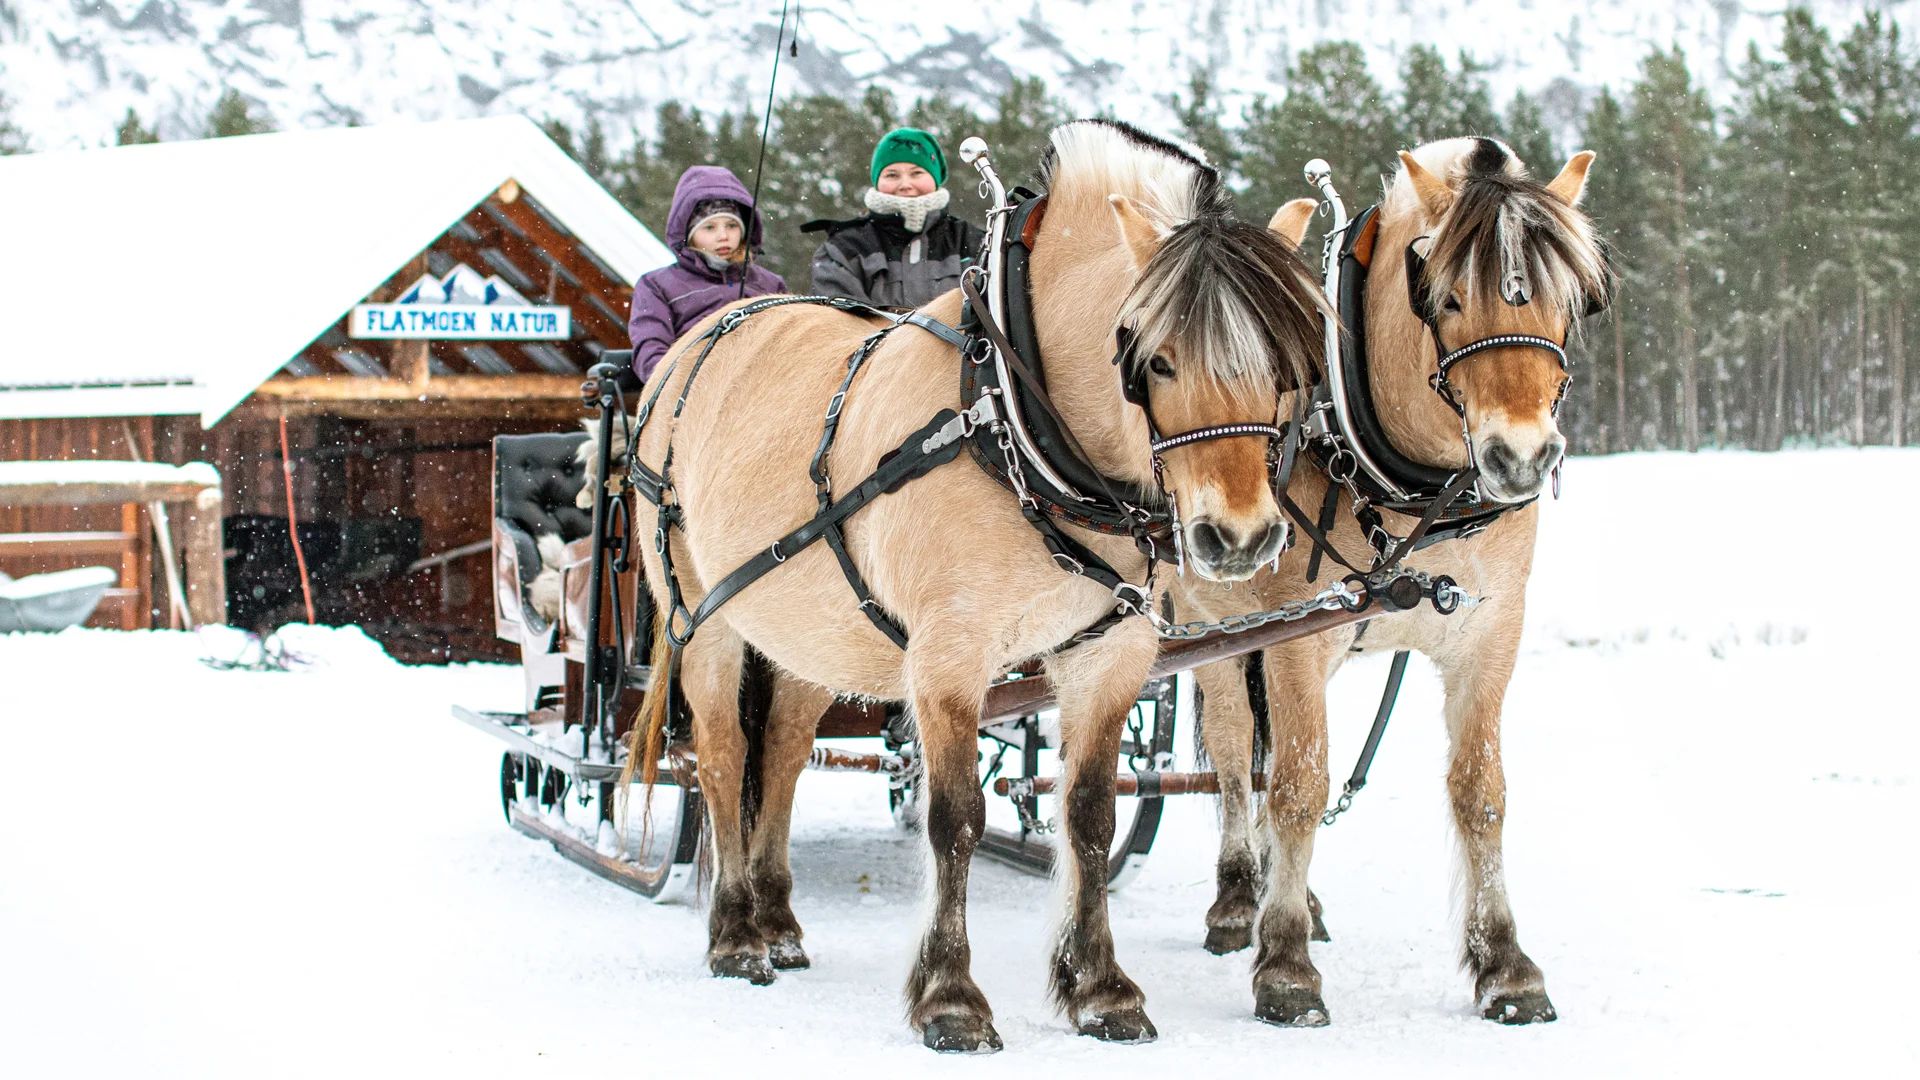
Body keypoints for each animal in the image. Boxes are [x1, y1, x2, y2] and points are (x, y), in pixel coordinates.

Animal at [626, 119, 1331, 1052]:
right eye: (1156, 362)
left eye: (1290, 365)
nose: (1241, 537)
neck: (1009, 420)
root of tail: (709, 328)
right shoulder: (948, 657)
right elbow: (955, 818)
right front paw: (951, 998)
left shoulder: (1111, 654)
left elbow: (1091, 816)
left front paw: (1100, 989)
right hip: (703, 617)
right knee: (720, 756)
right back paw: (738, 935)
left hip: (812, 631)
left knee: (779, 753)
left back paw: (777, 922)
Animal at [1174, 136, 1609, 1028]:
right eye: (1444, 298)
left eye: (1571, 301)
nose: (1522, 457)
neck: (1412, 482)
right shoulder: (1293, 638)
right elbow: (1300, 785)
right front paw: (1284, 967)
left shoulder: (1491, 633)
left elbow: (1481, 792)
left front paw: (1505, 964)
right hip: (1211, 629)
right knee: (1237, 757)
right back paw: (1239, 900)